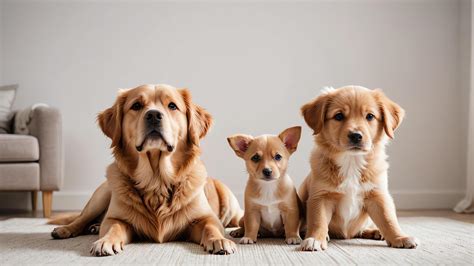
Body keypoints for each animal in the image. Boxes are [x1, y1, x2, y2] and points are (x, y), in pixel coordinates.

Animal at [49, 84, 243, 256]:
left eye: (172, 106)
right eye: (136, 106)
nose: (154, 115)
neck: (157, 180)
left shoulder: (206, 218)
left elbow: (211, 227)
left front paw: (219, 240)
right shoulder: (116, 218)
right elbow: (114, 226)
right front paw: (105, 241)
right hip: (100, 196)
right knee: (81, 219)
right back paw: (66, 229)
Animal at [300, 85, 418, 251]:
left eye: (370, 116)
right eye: (338, 116)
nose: (356, 135)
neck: (352, 161)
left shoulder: (378, 195)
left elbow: (388, 219)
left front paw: (399, 237)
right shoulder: (321, 196)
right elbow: (318, 221)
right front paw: (315, 239)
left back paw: (374, 231)